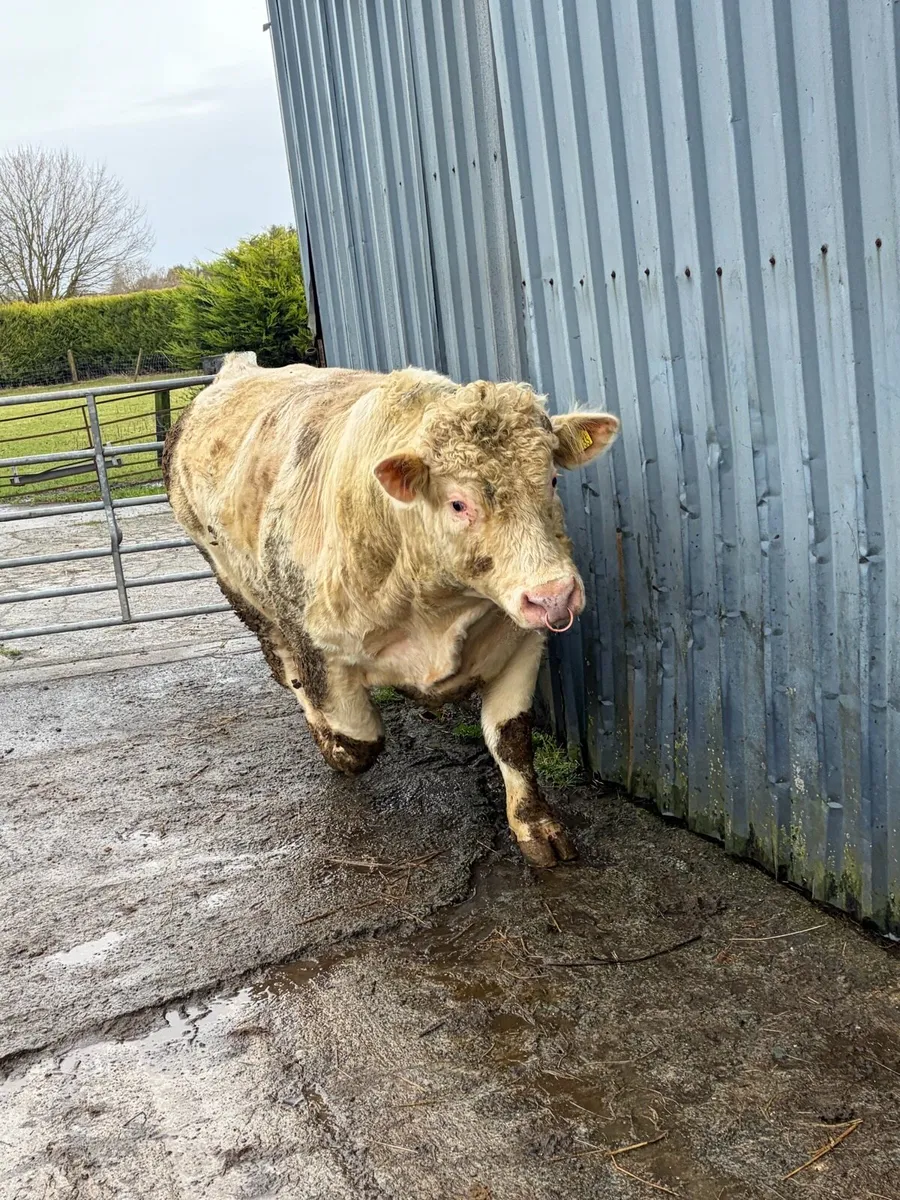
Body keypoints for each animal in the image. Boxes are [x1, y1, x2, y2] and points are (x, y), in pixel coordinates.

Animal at [163, 353, 619, 867]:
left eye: (553, 479)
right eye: (458, 503)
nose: (554, 595)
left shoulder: (521, 641)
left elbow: (513, 739)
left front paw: (535, 826)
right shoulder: (319, 647)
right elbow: (358, 740)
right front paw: (334, 745)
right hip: (236, 585)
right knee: (283, 663)